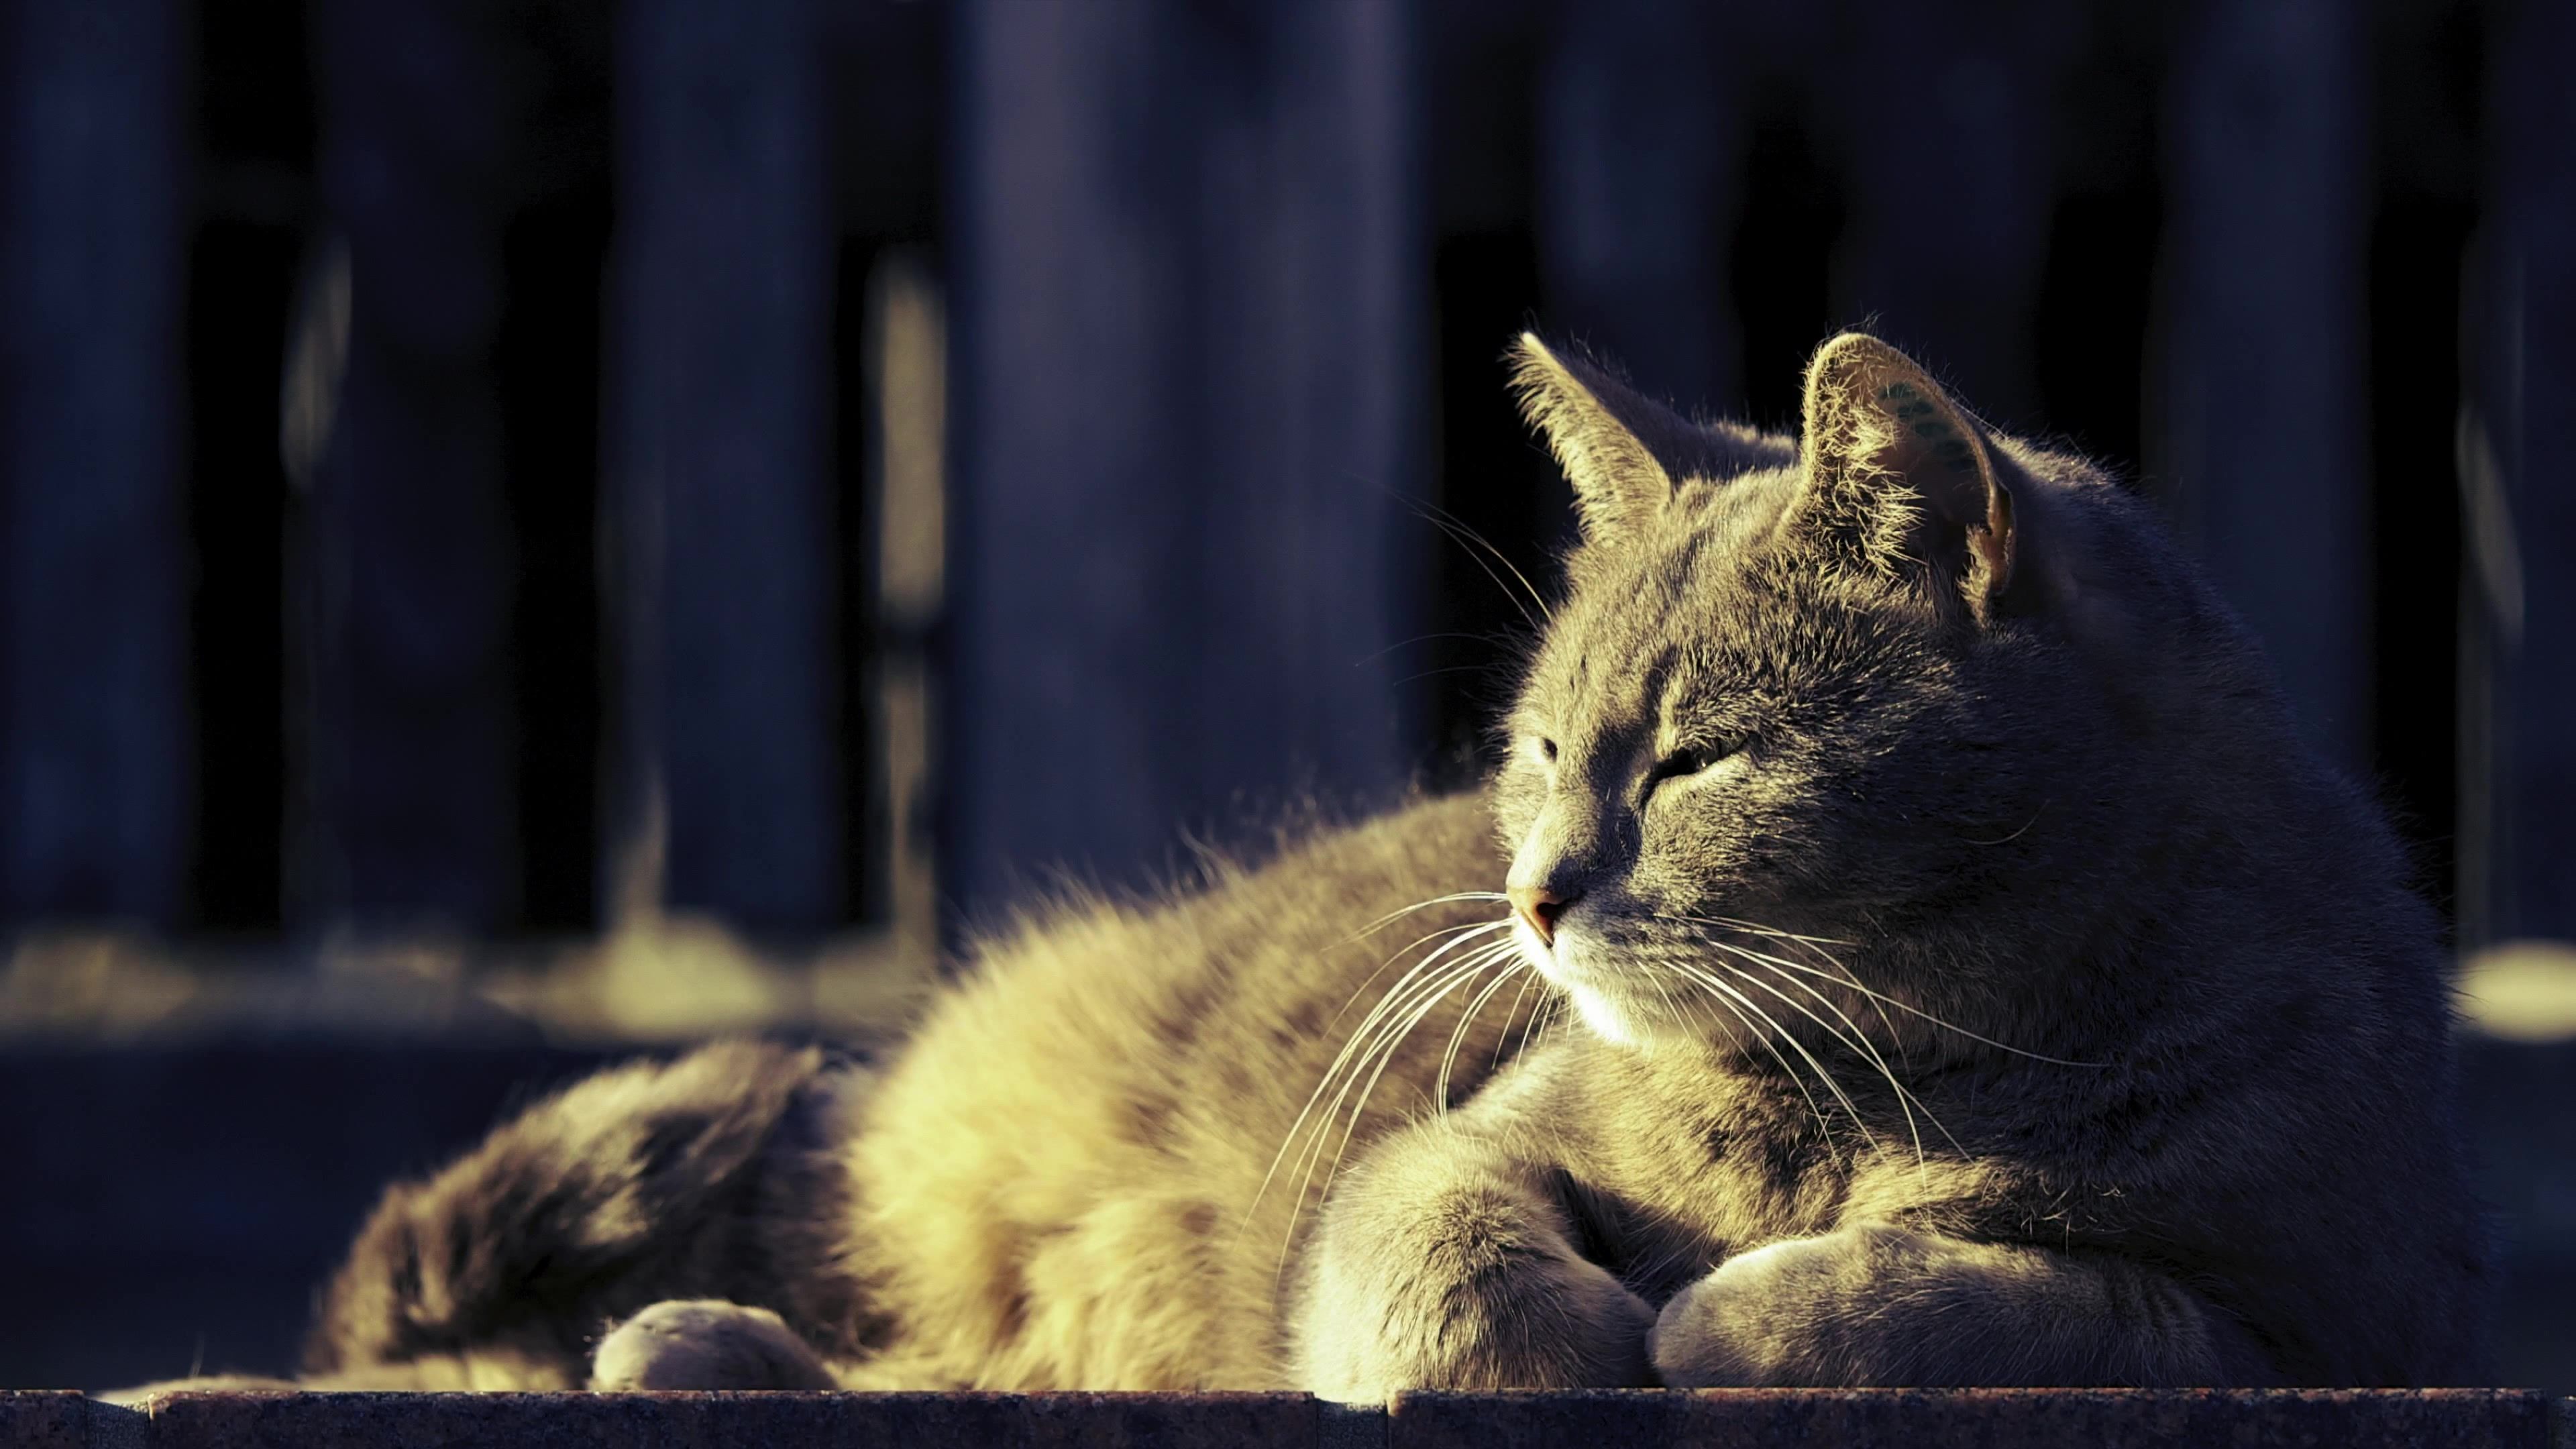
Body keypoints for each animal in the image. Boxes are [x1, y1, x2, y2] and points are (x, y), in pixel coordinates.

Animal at [251, 332, 2483, 1392]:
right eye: (1539, 749)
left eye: (1698, 759)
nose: (1536, 894)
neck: (1880, 1077)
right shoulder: (1447, 1152)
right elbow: (1448, 1251)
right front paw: (1581, 1335)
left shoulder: (2309, 1317)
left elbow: (1981, 1300)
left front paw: (1731, 1311)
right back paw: (692, 1345)